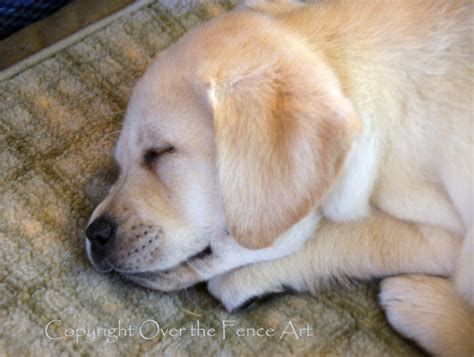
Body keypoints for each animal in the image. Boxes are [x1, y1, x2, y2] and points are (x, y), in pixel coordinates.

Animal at [86, 0, 474, 354]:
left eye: (160, 152)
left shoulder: (445, 232)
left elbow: (343, 234)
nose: (93, 235)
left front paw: (242, 278)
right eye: (119, 164)